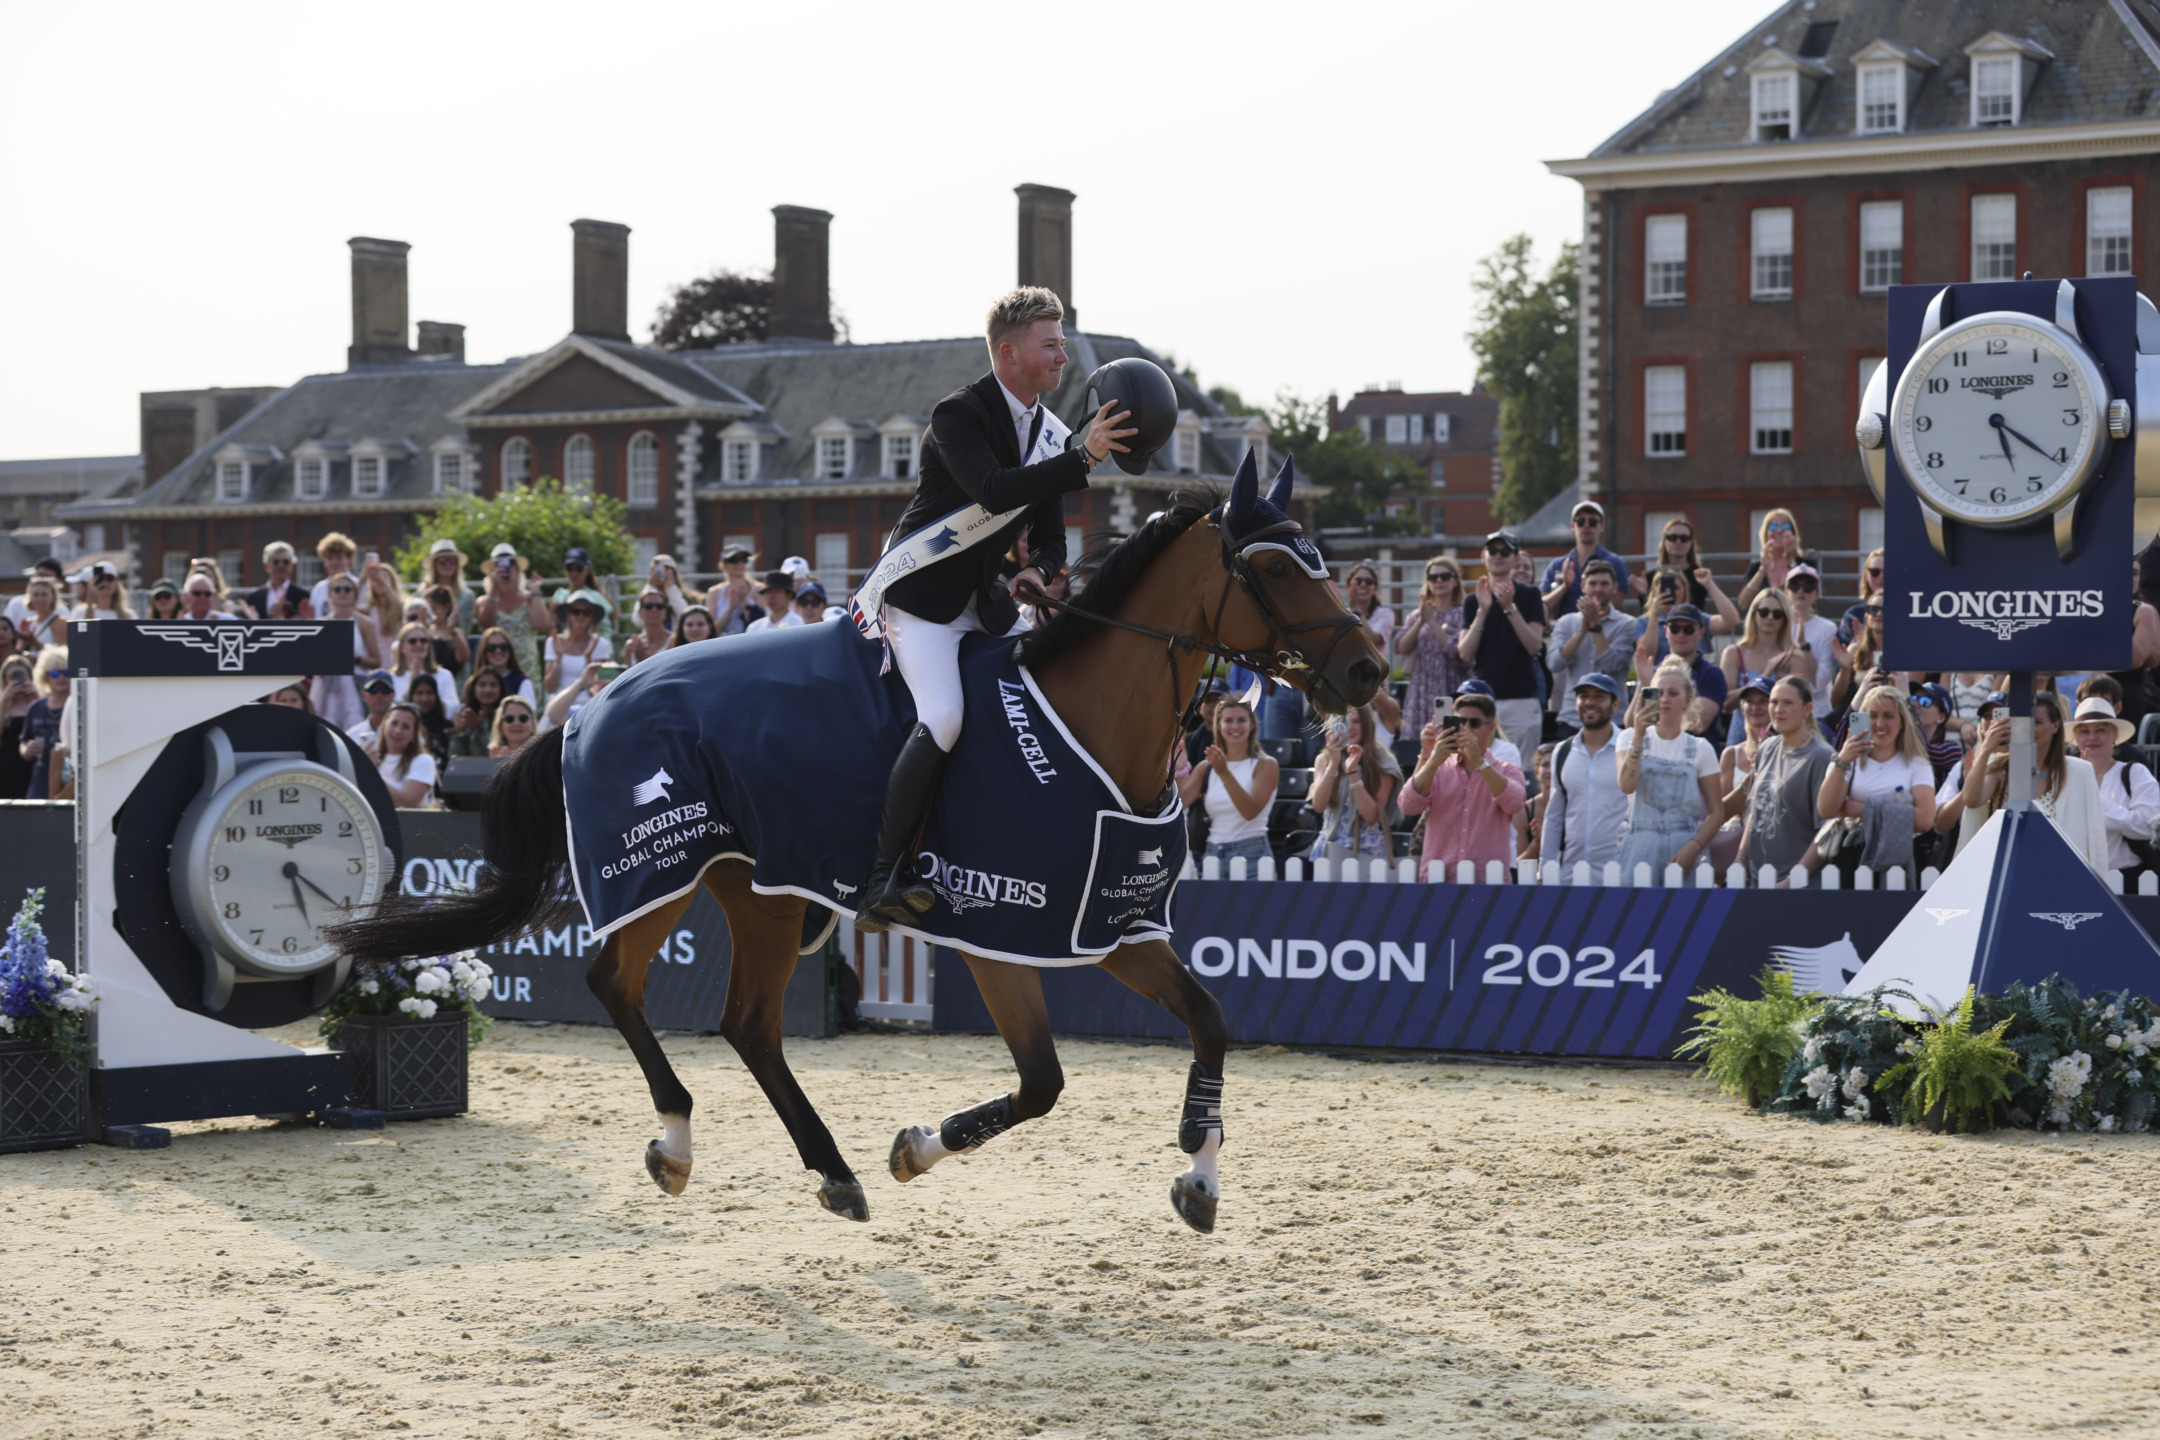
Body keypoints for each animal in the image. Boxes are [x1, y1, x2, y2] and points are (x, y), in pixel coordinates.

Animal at [332, 459, 1382, 1226]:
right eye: (1276, 567)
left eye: (1322, 558)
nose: (1369, 671)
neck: (1085, 725)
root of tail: (590, 703)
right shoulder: (997, 926)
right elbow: (1043, 1081)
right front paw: (917, 1149)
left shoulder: (1109, 925)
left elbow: (1207, 1020)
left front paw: (1200, 1178)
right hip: (660, 871)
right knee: (616, 985)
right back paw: (683, 1141)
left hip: (760, 891)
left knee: (746, 1024)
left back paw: (826, 1168)